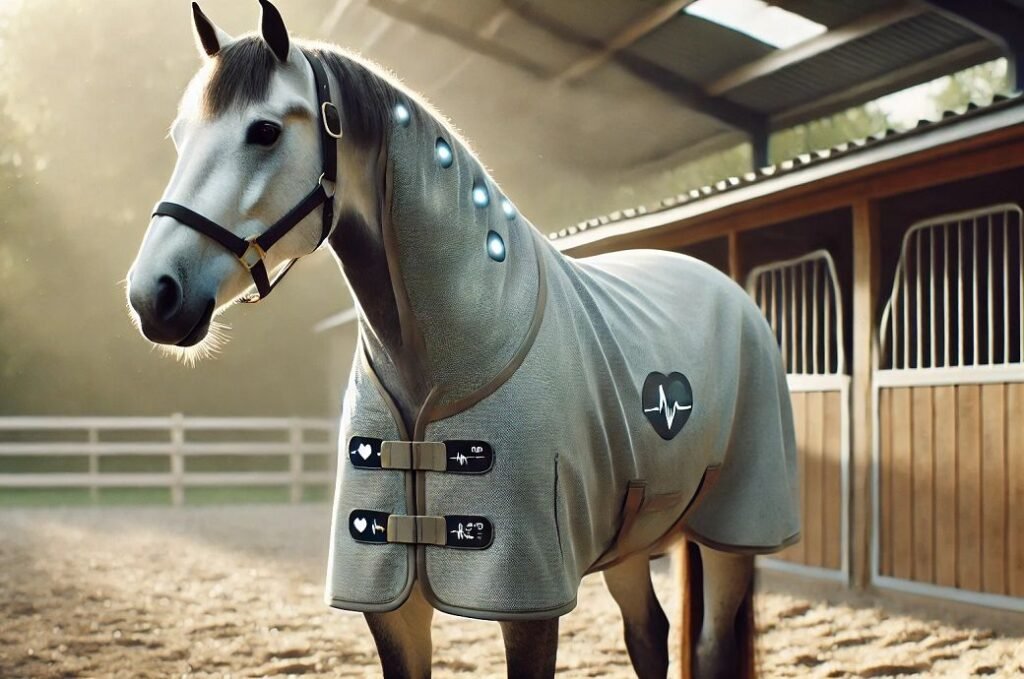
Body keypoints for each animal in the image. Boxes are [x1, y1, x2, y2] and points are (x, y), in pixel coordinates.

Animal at [125, 2, 800, 677]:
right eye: (180, 137)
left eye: (264, 131)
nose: (153, 294)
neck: (460, 346)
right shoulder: (390, 607)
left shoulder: (529, 603)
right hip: (630, 538)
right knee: (648, 634)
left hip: (733, 530)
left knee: (710, 643)